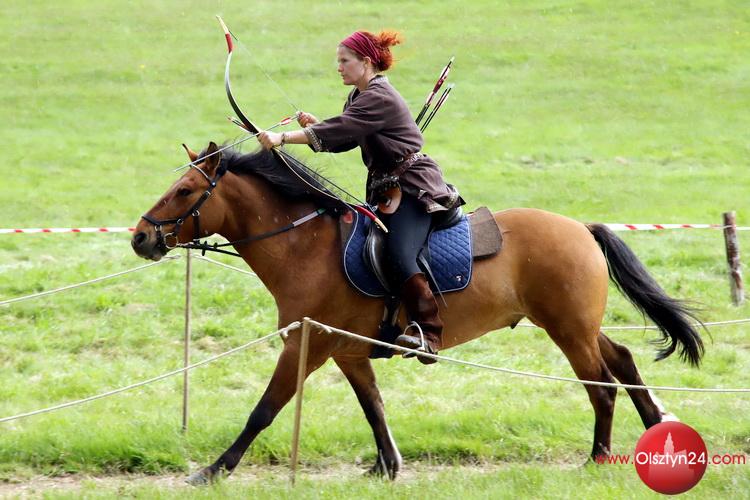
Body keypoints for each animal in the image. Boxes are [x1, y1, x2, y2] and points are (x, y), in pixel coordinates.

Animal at [131, 142, 704, 484]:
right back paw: (657, 432)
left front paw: (214, 469)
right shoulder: (345, 350)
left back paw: (599, 456)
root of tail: (580, 228)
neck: (303, 246)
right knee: (623, 359)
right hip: (578, 325)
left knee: (601, 385)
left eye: (184, 191)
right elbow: (374, 407)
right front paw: (387, 466)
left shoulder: (307, 344)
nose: (140, 237)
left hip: (568, 329)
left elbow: (265, 409)